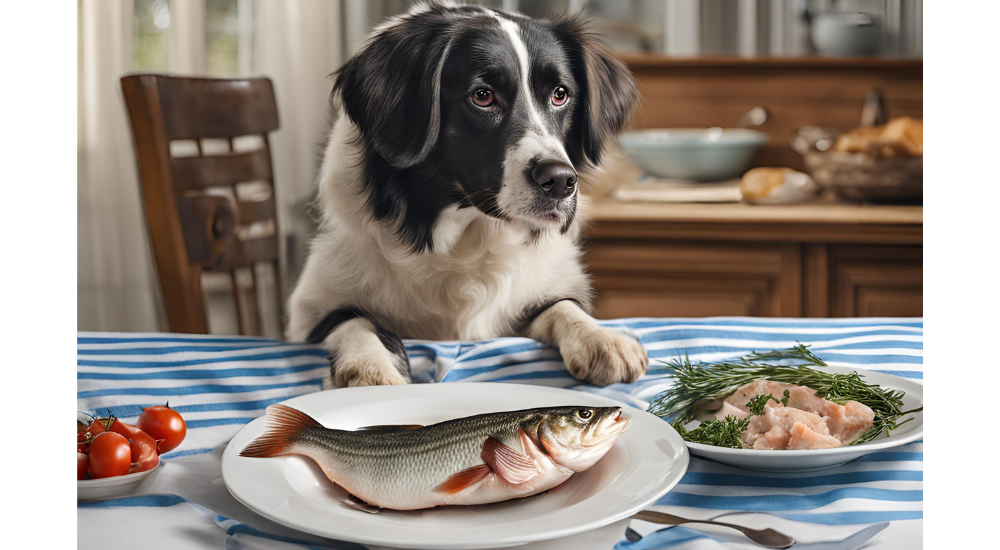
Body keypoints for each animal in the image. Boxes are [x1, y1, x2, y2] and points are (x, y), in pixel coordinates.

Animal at [288, 1, 648, 388]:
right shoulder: (310, 309)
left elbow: (561, 305)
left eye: (560, 94)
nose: (561, 181)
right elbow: (353, 319)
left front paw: (601, 337)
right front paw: (368, 367)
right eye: (483, 96)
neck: (464, 237)